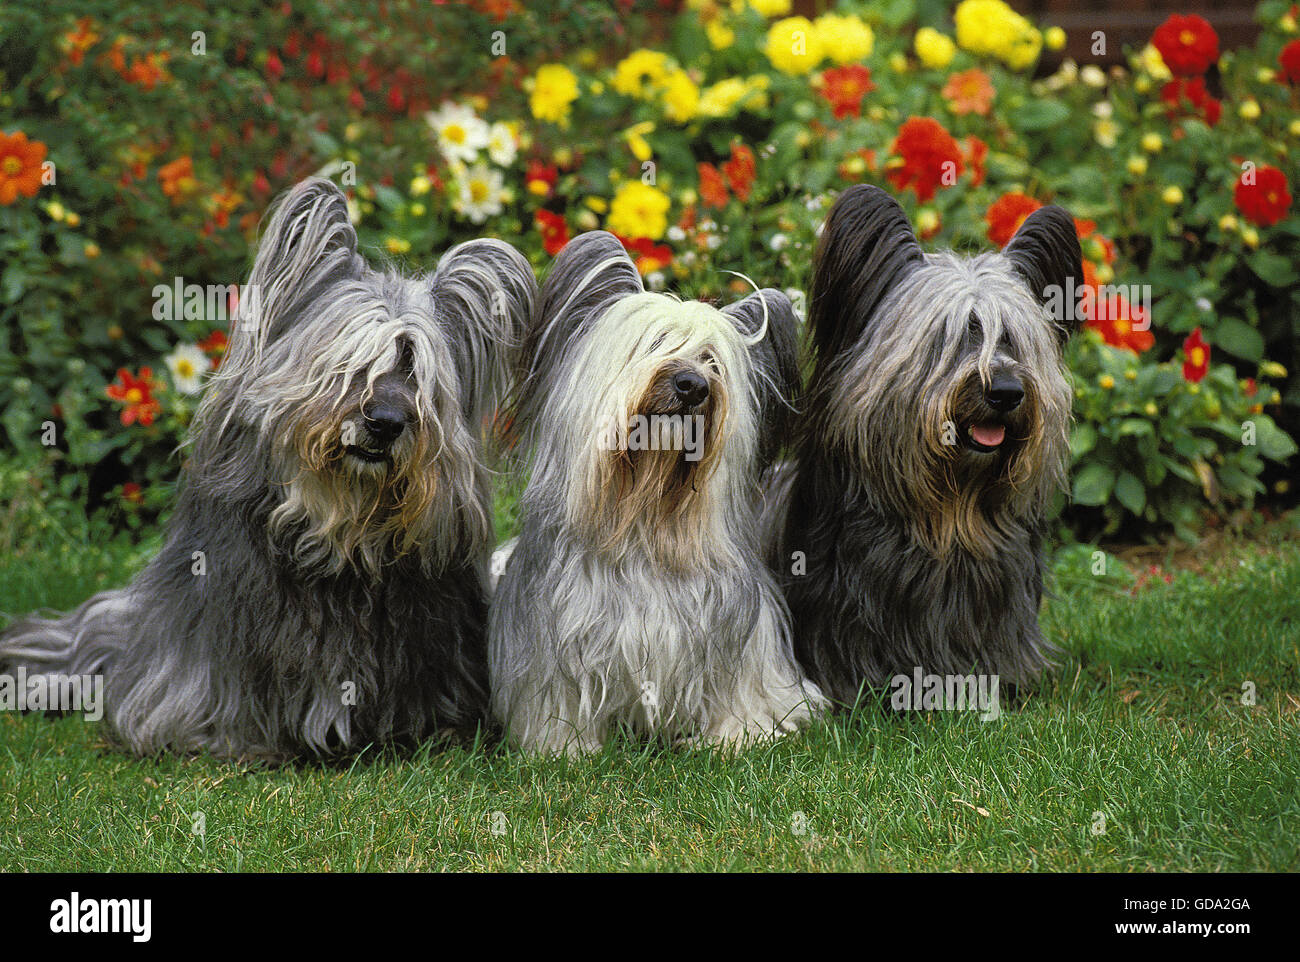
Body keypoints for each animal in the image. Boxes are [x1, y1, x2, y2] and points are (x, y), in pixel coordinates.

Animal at [488, 231, 821, 754]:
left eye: (712, 361)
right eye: (657, 343)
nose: (693, 385)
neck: (645, 527)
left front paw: (738, 736)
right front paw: (564, 748)